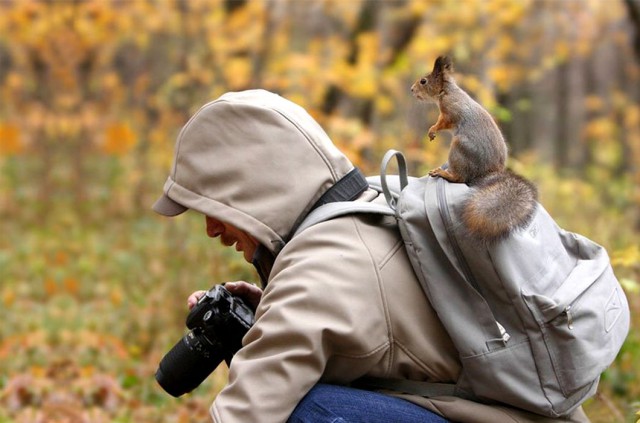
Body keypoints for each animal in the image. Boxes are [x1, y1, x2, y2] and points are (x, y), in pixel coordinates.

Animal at [410, 56, 540, 243]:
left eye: (423, 81)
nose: (412, 89)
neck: (446, 92)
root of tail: (487, 173)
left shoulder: (450, 112)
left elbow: (442, 122)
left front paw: (432, 130)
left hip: (460, 149)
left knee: (460, 178)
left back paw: (443, 173)